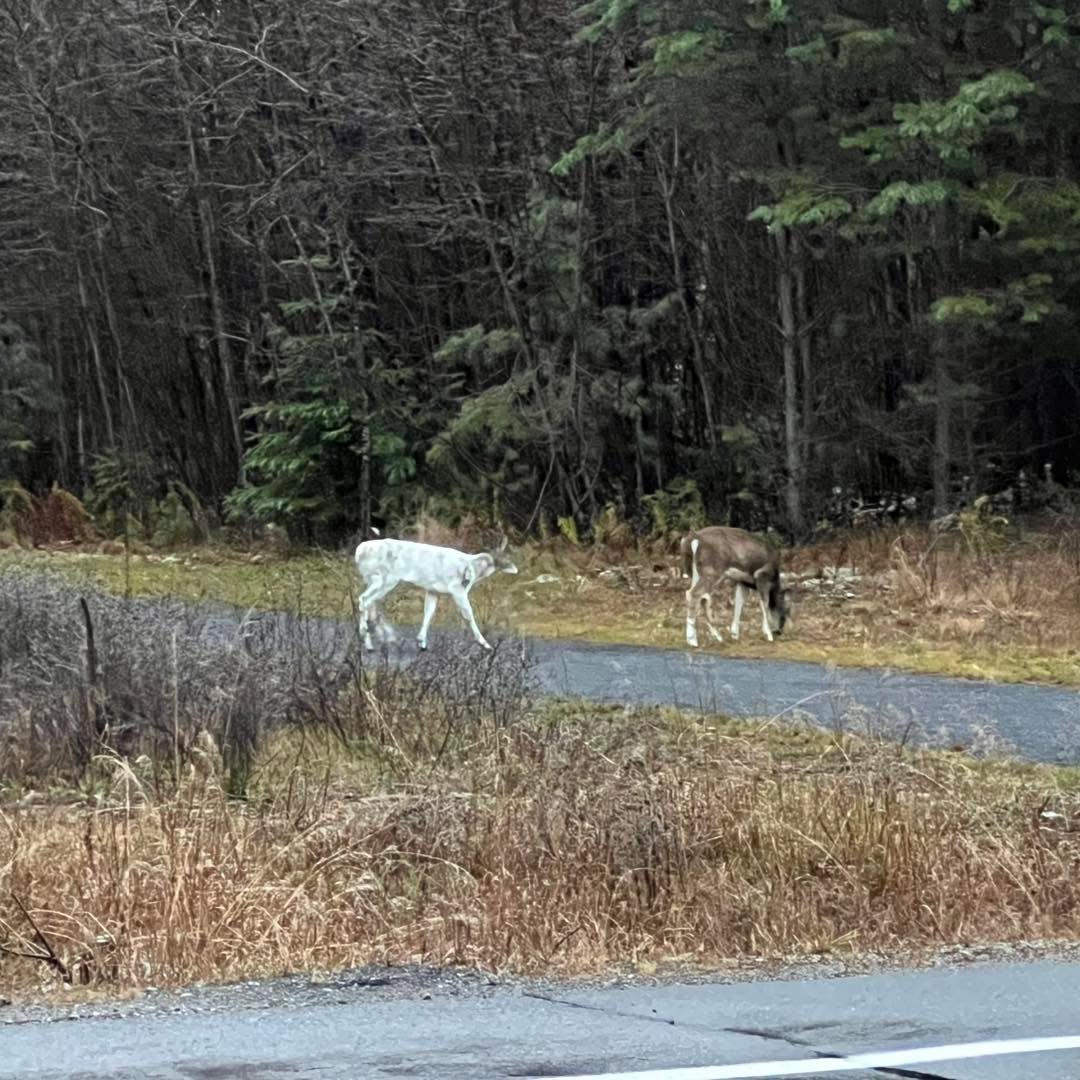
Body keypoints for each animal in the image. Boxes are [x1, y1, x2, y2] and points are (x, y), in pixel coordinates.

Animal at [354, 535, 518, 651]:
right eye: (504, 558)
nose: (515, 568)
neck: (474, 568)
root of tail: (358, 552)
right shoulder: (456, 588)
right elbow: (469, 614)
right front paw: (485, 644)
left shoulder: (433, 590)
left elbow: (429, 613)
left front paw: (422, 642)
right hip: (385, 577)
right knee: (364, 600)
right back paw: (368, 642)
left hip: (374, 579)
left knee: (370, 602)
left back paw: (380, 636)